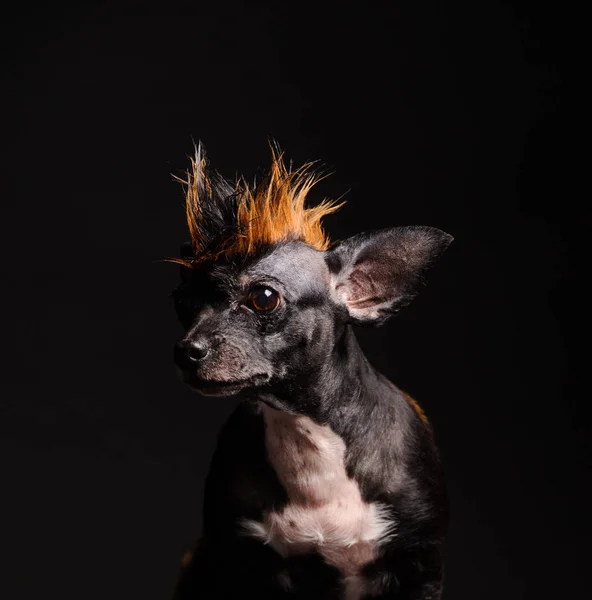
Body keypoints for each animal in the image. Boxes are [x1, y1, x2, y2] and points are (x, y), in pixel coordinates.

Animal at [169, 145, 450, 600]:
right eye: (182, 303)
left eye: (264, 298)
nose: (186, 351)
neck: (304, 432)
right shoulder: (235, 561)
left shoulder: (421, 566)